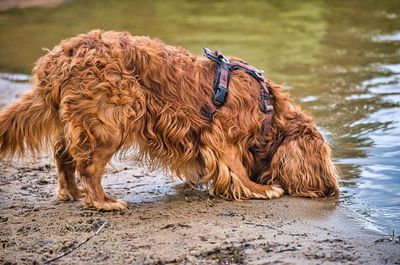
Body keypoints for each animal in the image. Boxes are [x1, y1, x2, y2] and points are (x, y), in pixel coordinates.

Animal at [0, 29, 340, 209]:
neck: (268, 108)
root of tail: (55, 59)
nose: (329, 190)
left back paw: (71, 192)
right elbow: (236, 168)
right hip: (113, 120)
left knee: (64, 156)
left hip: (78, 121)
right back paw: (103, 201)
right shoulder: (221, 135)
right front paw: (259, 189)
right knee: (89, 166)